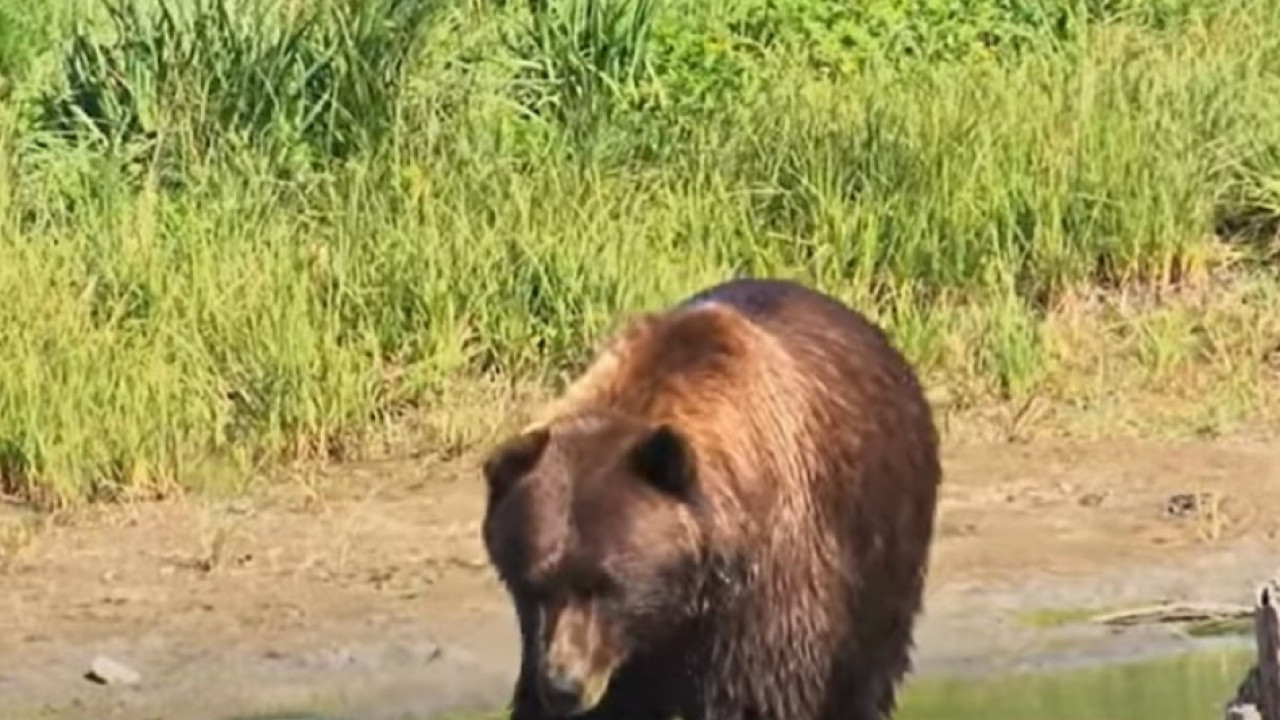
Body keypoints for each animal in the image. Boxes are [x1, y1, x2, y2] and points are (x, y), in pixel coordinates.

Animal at [481, 278, 942, 717]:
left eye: (607, 584)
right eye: (533, 584)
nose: (564, 687)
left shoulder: (764, 596)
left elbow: (760, 698)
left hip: (880, 549)